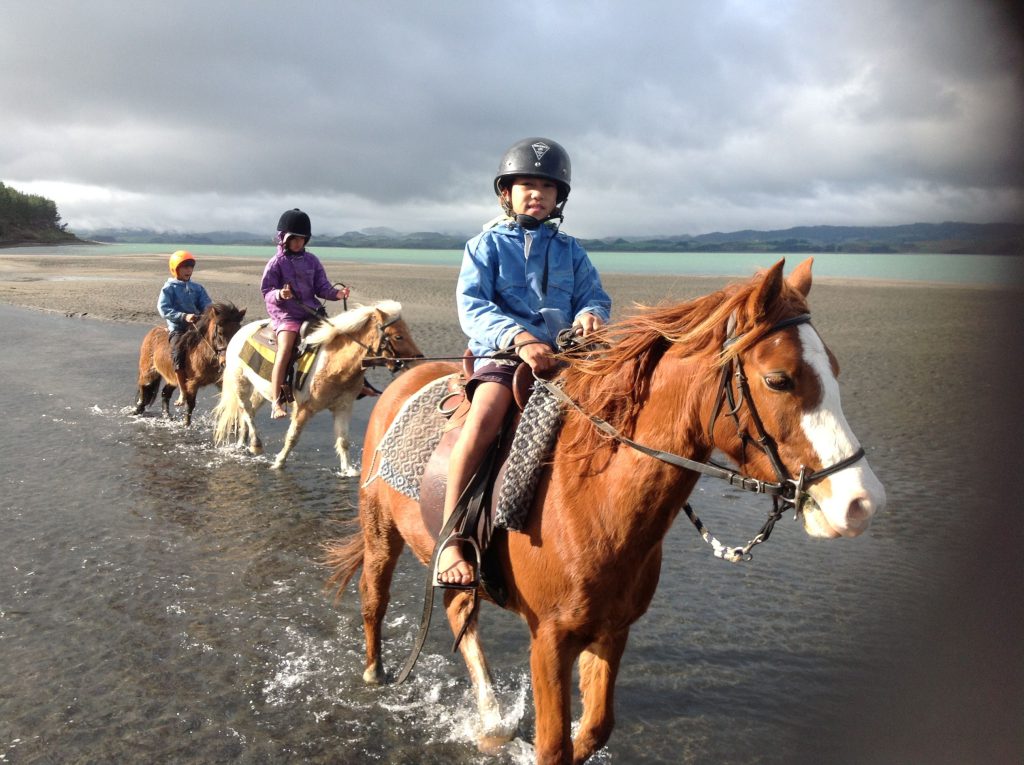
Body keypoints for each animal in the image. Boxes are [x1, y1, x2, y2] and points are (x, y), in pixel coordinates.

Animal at [211, 301, 423, 475]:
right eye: (398, 336)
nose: (418, 361)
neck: (334, 364)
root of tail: (240, 333)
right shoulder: (304, 408)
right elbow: (292, 438)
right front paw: (278, 464)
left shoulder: (343, 407)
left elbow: (343, 440)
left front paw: (348, 470)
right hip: (241, 382)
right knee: (246, 411)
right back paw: (256, 444)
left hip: (263, 391)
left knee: (249, 413)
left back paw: (243, 443)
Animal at [327, 259, 888, 765]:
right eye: (778, 380)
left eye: (835, 370)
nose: (861, 502)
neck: (591, 501)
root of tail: (406, 380)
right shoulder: (549, 639)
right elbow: (554, 747)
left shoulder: (611, 630)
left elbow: (594, 730)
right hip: (380, 531)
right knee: (374, 596)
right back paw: (376, 673)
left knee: (459, 610)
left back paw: (491, 722)